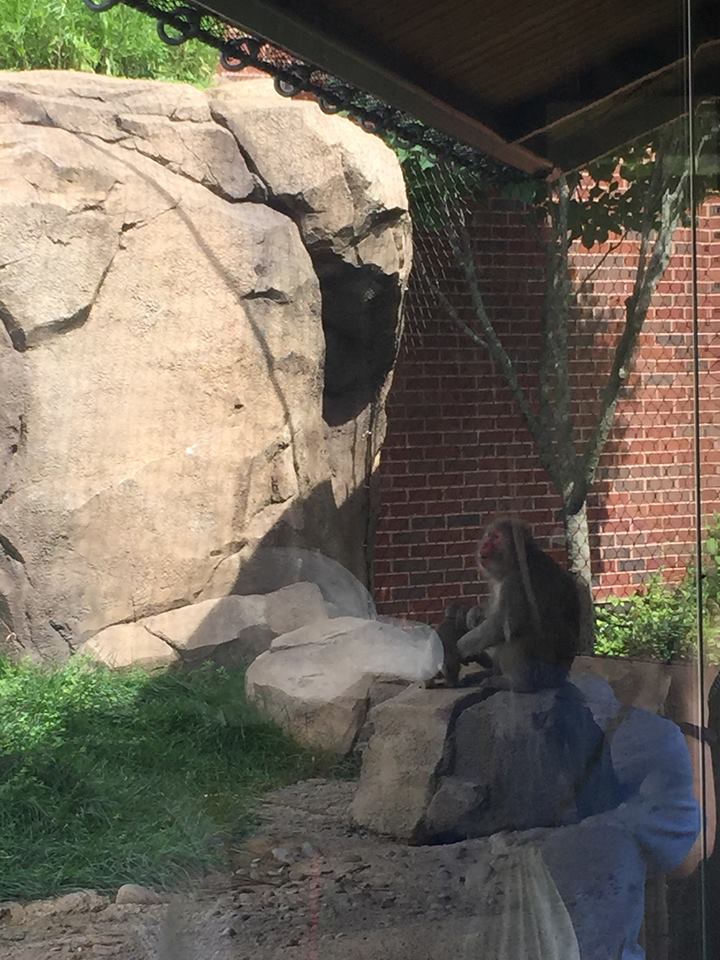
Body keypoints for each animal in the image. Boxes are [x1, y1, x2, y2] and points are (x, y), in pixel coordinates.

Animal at [456, 516, 580, 693]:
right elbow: (493, 611)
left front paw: (459, 647)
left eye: (496, 538)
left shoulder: (516, 582)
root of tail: (561, 678)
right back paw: (489, 673)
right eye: (488, 536)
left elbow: (502, 626)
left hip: (545, 673)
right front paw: (475, 612)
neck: (515, 562)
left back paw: (517, 683)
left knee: (518, 635)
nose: (484, 544)